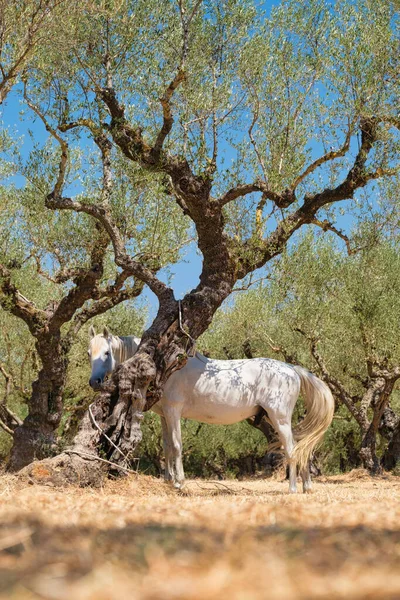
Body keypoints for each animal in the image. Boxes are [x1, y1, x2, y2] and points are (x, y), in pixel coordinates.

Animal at [88, 328, 334, 492]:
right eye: (89, 352)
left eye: (107, 353)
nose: (94, 382)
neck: (166, 368)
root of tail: (291, 369)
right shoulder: (165, 416)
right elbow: (167, 447)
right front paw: (169, 481)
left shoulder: (173, 411)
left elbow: (176, 446)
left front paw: (180, 483)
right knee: (300, 448)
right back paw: (306, 487)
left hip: (279, 417)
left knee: (292, 449)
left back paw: (293, 488)